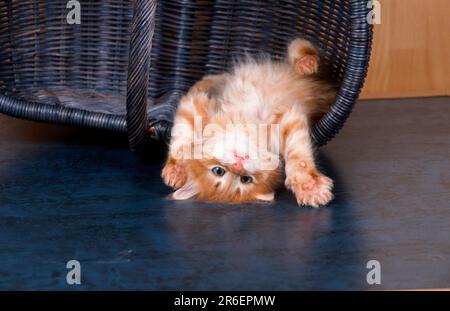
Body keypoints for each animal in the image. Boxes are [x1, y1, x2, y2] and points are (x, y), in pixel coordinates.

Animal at [162, 39, 338, 210]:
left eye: (218, 171)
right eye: (245, 179)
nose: (238, 165)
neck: (246, 129)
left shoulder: (194, 103)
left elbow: (299, 156)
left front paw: (309, 186)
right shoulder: (285, 121)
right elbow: (181, 138)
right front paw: (177, 170)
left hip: (306, 62)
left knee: (308, 52)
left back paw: (306, 63)